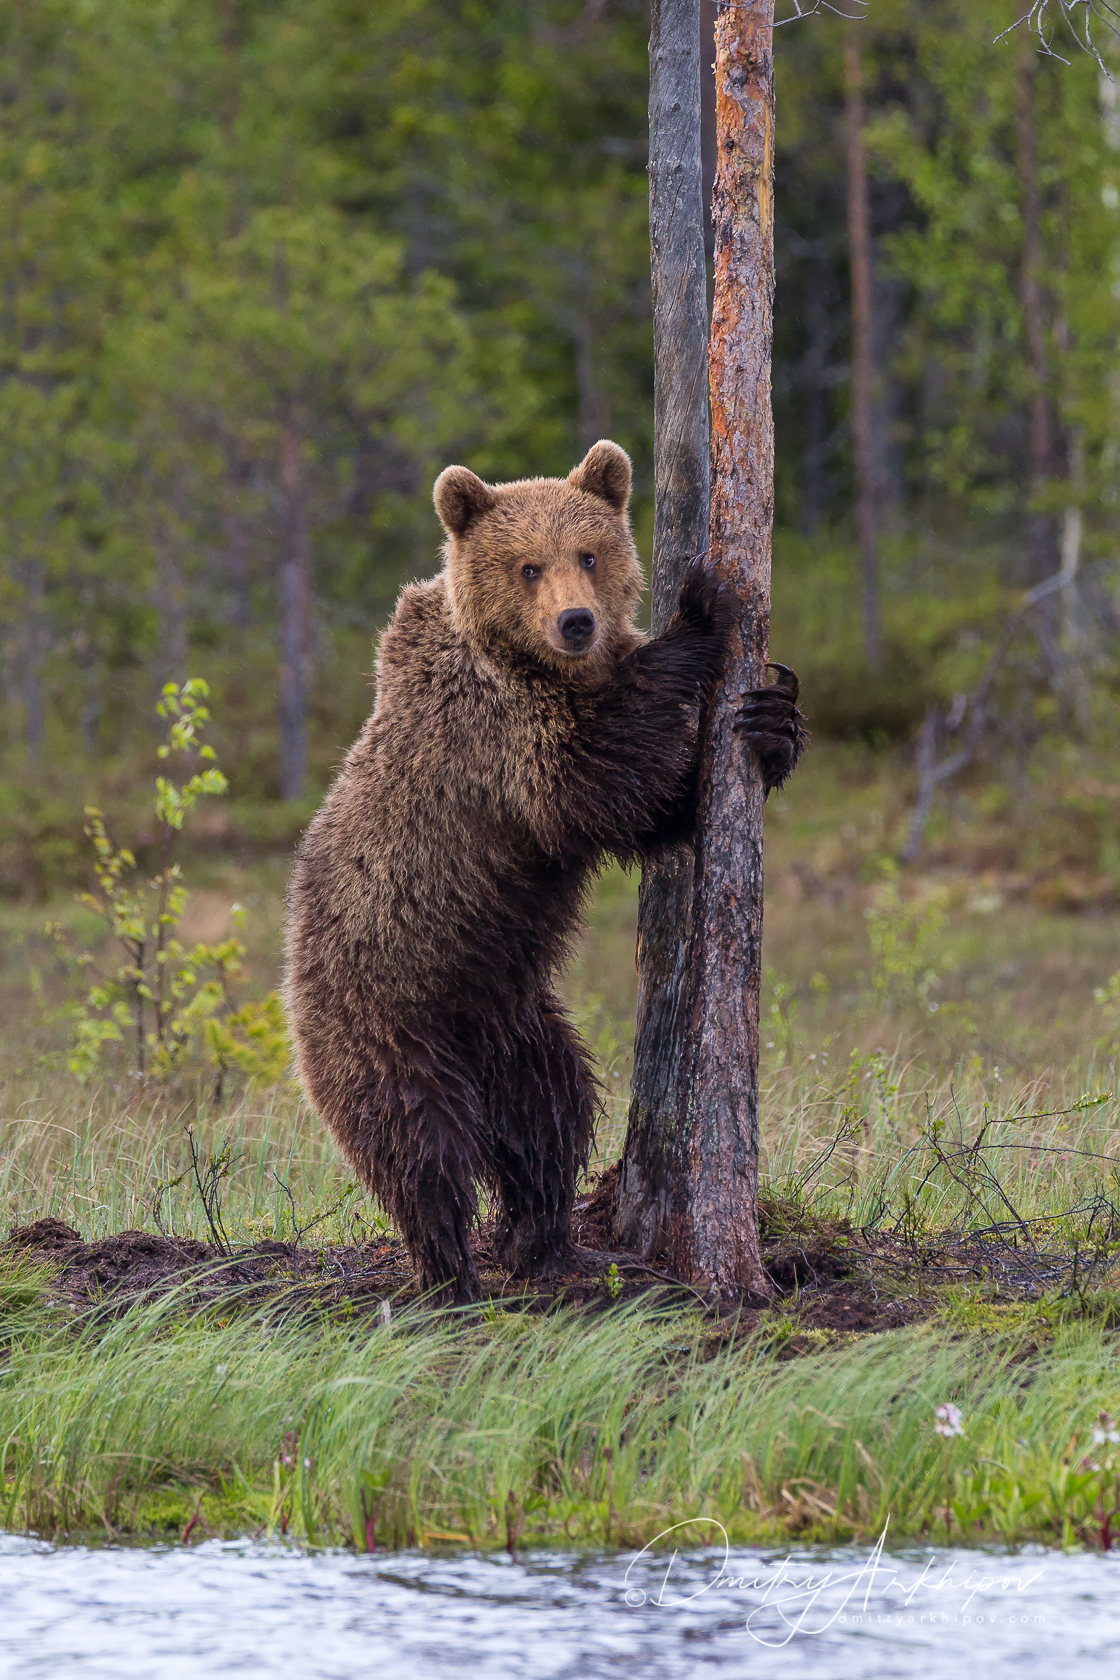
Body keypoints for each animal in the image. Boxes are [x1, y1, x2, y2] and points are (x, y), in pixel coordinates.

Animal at [285, 443, 802, 1296]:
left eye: (587, 554)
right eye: (527, 566)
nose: (576, 621)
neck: (547, 670)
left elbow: (649, 814)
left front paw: (772, 721)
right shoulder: (497, 738)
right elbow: (595, 777)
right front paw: (700, 610)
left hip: (515, 1020)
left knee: (548, 1114)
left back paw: (548, 1241)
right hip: (383, 1012)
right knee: (416, 1143)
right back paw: (450, 1272)